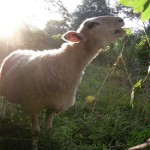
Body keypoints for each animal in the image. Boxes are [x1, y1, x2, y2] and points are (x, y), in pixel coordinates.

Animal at [0, 15, 125, 148]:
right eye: (92, 24)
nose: (121, 20)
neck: (66, 62)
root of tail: (17, 50)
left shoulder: (55, 104)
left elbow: (49, 129)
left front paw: (48, 143)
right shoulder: (34, 104)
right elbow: (36, 132)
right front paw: (35, 146)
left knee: (9, 100)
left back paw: (12, 115)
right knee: (4, 99)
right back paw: (3, 115)